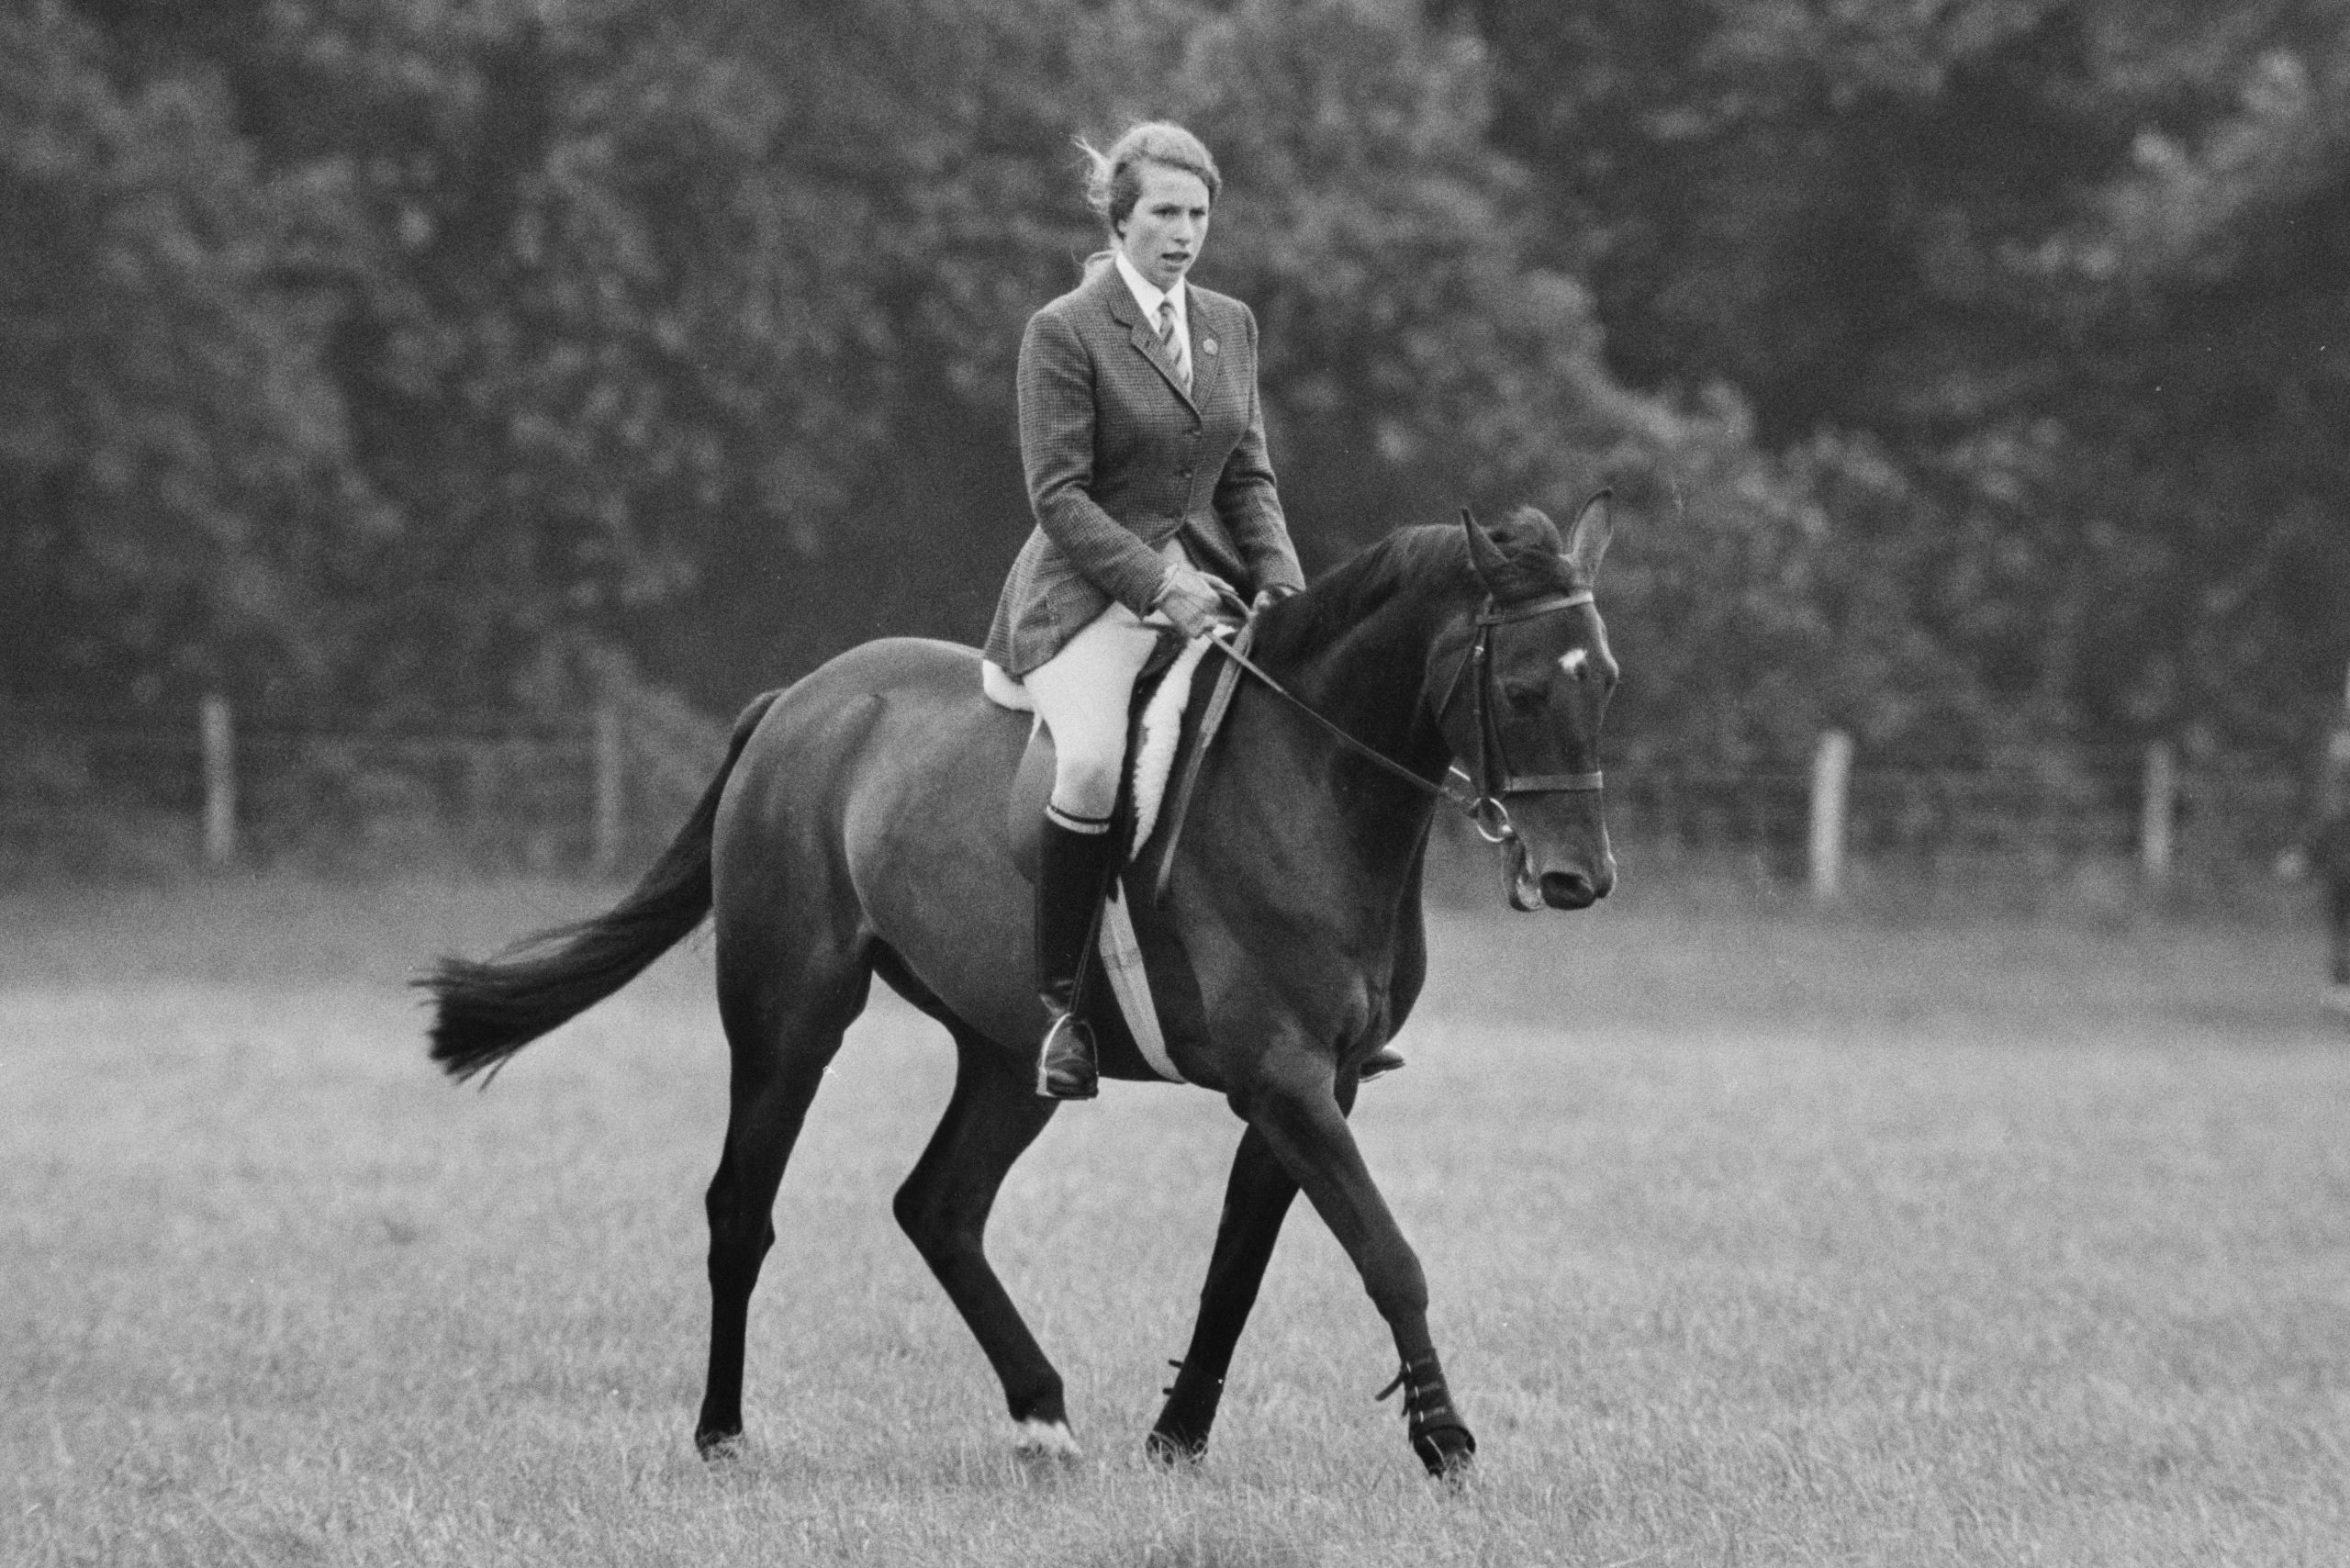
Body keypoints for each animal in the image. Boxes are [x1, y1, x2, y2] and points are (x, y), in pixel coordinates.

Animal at [422, 500, 1617, 1476]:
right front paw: (1444, 1438)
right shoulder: (1283, 1078)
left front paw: (1176, 1438)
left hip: (1006, 1056)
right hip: (788, 1019)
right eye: (1518, 688)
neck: (1308, 783)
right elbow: (1387, 1253)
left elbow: (1238, 1264)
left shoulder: (1321, 1082)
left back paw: (1043, 1415)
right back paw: (723, 1433)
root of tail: (800, 701)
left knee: (939, 1207)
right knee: (740, 1210)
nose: (1579, 879)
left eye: (1602, 679)